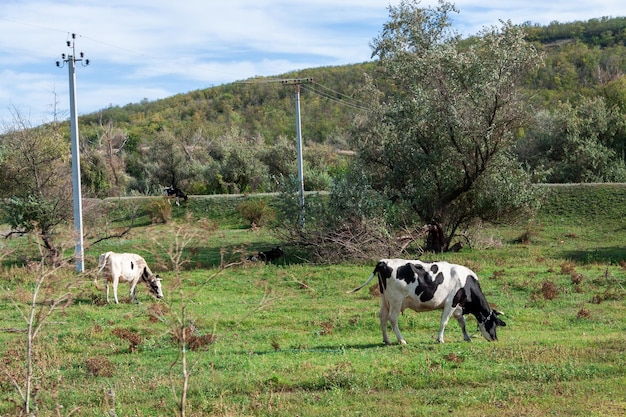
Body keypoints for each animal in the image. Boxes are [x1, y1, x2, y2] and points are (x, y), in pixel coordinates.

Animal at [348, 258, 504, 342]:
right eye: (493, 323)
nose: (495, 338)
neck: (466, 282)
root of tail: (384, 261)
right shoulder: (451, 302)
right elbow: (444, 321)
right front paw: (440, 339)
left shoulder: (458, 306)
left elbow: (462, 323)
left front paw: (467, 338)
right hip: (396, 300)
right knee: (392, 318)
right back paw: (401, 340)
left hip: (385, 299)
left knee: (383, 317)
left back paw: (387, 340)